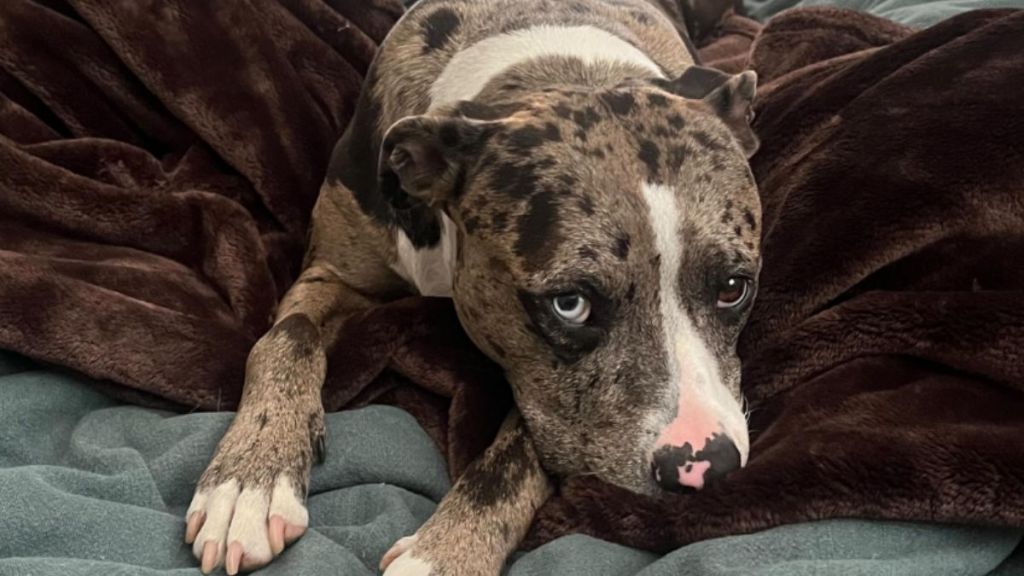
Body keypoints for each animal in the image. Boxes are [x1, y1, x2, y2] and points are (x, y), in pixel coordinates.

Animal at [184, 2, 761, 569]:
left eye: (733, 287)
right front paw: (249, 476)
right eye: (570, 304)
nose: (705, 466)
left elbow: (516, 455)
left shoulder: (548, 403)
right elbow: (288, 337)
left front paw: (445, 550)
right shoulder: (334, 275)